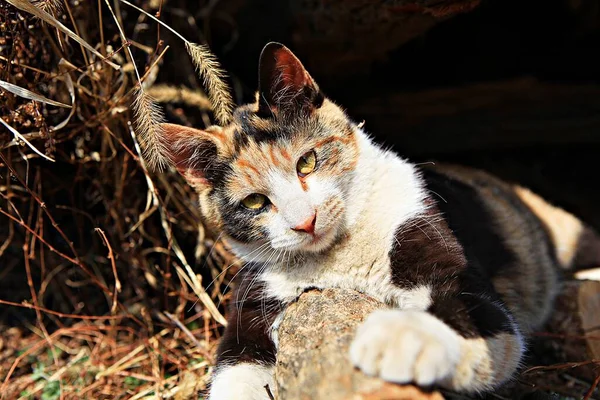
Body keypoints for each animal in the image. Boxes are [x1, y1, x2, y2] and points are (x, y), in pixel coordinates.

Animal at [157, 42, 600, 398]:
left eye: (307, 161)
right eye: (253, 202)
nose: (305, 222)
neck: (336, 261)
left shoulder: (432, 243)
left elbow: (471, 312)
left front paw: (404, 337)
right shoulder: (249, 308)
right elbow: (235, 370)